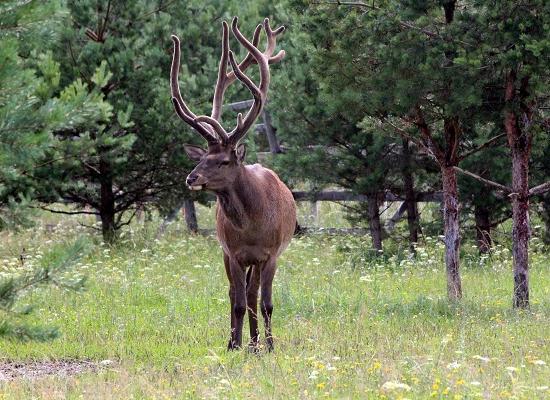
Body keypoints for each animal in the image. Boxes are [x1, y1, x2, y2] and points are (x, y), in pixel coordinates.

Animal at [171, 18, 298, 350]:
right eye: (203, 156)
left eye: (224, 160)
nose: (191, 178)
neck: (252, 225)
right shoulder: (234, 252)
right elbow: (238, 301)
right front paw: (235, 344)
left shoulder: (271, 253)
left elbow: (266, 303)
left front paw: (269, 344)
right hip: (226, 253)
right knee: (235, 294)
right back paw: (242, 341)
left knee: (254, 295)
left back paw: (256, 342)